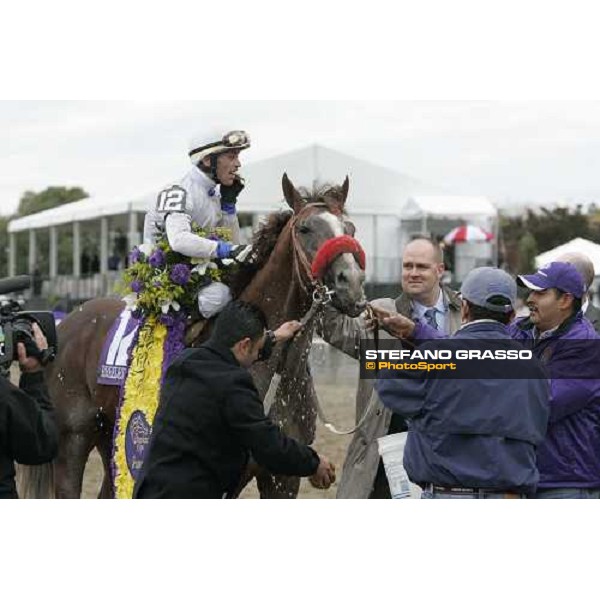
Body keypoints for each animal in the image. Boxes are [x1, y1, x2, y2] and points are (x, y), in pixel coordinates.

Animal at [18, 175, 366, 502]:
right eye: (305, 228)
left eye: (349, 227)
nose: (351, 284)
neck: (272, 368)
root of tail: (66, 323)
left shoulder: (282, 479)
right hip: (73, 439)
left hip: (112, 438)